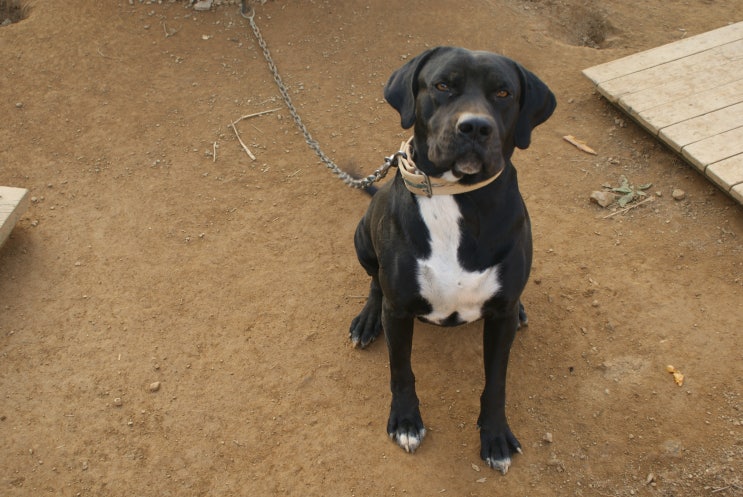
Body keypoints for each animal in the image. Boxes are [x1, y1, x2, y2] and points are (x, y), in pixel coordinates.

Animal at [352, 46, 556, 472]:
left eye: (503, 93)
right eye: (443, 85)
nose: (475, 128)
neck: (455, 197)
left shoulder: (500, 319)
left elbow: (496, 382)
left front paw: (495, 436)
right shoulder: (399, 310)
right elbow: (401, 370)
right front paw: (406, 421)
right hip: (362, 236)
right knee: (375, 282)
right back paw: (366, 320)